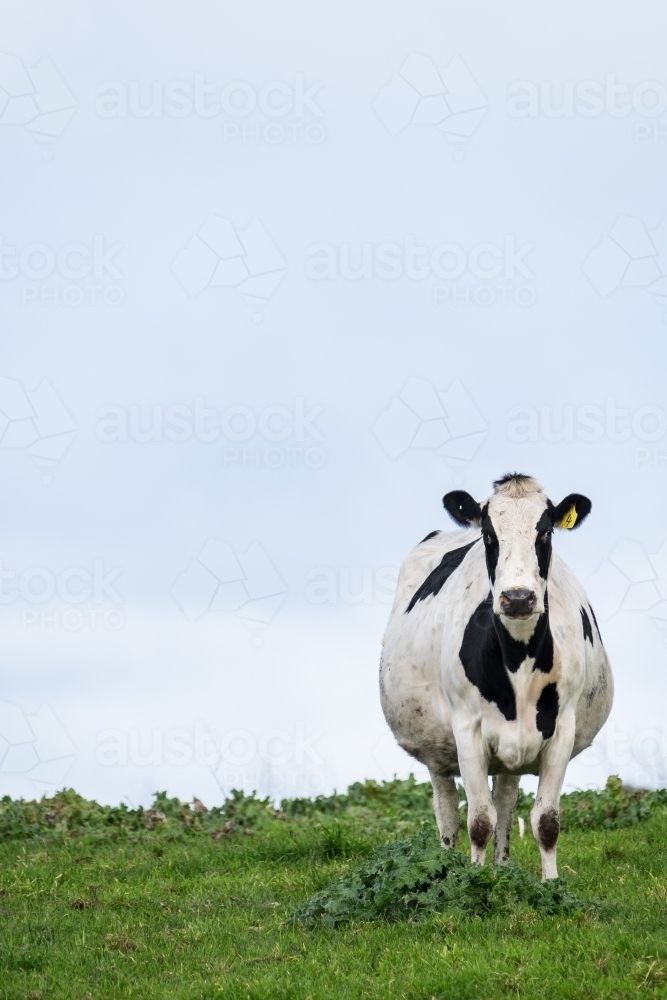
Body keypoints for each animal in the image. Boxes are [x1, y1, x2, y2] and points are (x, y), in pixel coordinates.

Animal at [380, 472, 616, 880]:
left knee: (506, 798)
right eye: (489, 535)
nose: (518, 598)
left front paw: (550, 883)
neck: (518, 659)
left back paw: (502, 867)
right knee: (447, 810)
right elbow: (478, 821)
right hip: (435, 746)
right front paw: (473, 881)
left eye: (546, 533)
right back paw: (448, 861)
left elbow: (546, 821)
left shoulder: (562, 728)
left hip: (511, 752)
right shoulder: (466, 728)